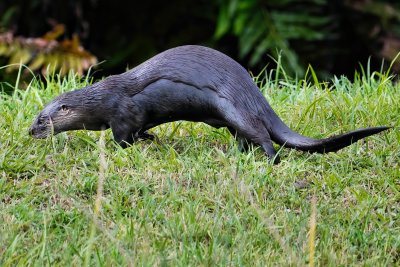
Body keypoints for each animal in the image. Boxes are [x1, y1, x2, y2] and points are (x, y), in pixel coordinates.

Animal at [30, 45, 390, 163]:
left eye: (41, 119)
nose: (30, 132)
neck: (102, 99)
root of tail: (254, 96)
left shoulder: (124, 112)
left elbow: (124, 137)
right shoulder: (134, 117)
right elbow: (142, 130)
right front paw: (151, 137)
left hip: (234, 108)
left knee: (262, 135)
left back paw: (270, 160)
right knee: (247, 136)